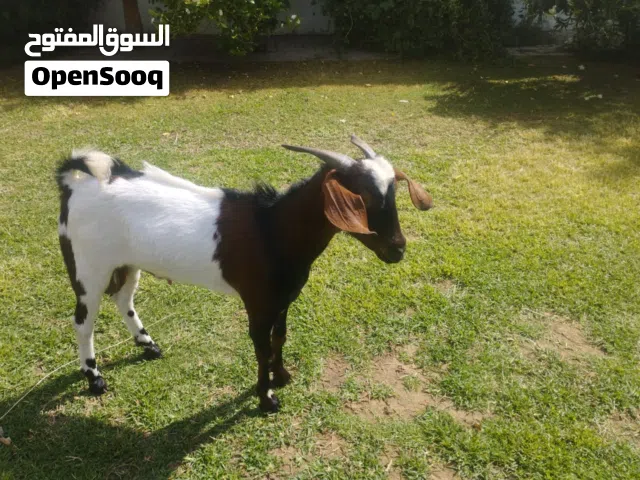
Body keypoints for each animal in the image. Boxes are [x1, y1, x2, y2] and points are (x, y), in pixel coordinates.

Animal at [56, 135, 432, 412]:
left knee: (123, 299)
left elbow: (280, 337)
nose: (398, 249)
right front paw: (266, 398)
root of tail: (76, 181)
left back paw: (148, 344)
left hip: (126, 262)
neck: (272, 230)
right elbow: (261, 346)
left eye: (394, 192)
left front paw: (282, 376)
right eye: (361, 197)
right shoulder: (257, 302)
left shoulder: (283, 299)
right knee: (83, 321)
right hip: (88, 266)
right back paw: (94, 377)